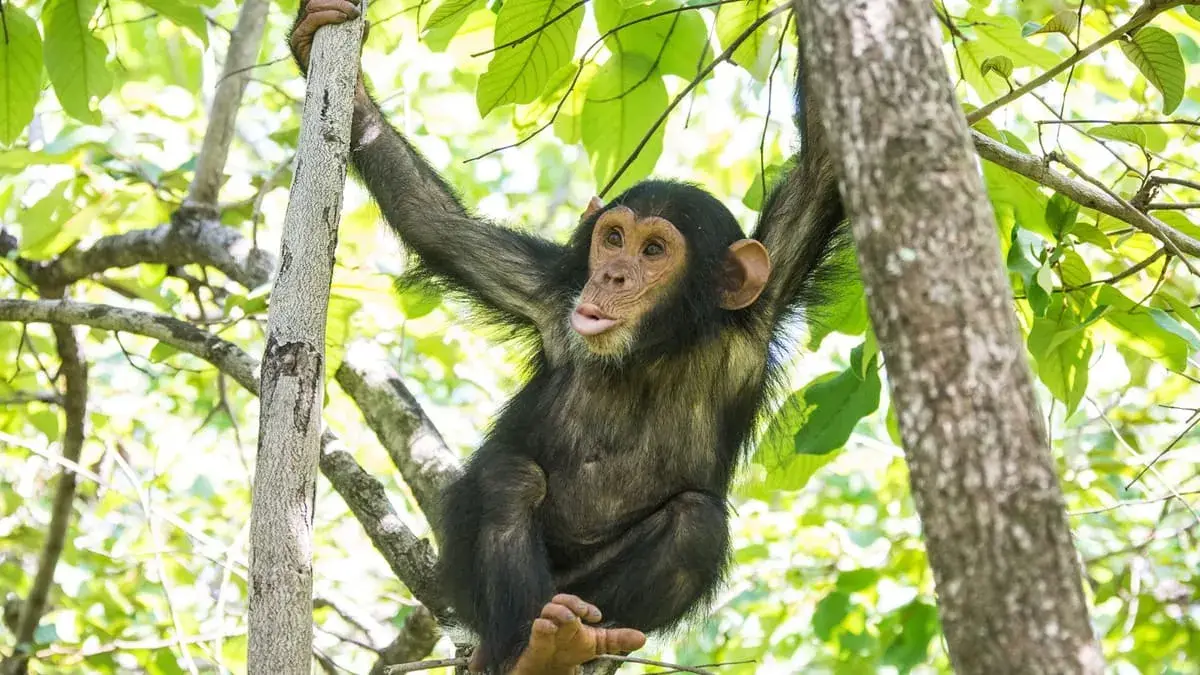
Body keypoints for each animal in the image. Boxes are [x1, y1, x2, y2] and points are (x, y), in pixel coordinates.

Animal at [290, 3, 845, 673]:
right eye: (614, 238)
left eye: (653, 251)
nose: (611, 275)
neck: (653, 349)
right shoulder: (548, 293)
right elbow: (437, 224)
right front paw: (328, 62)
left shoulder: (762, 307)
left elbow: (822, 171)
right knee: (510, 479)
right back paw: (533, 647)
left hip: (585, 590)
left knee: (696, 524)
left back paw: (574, 642)